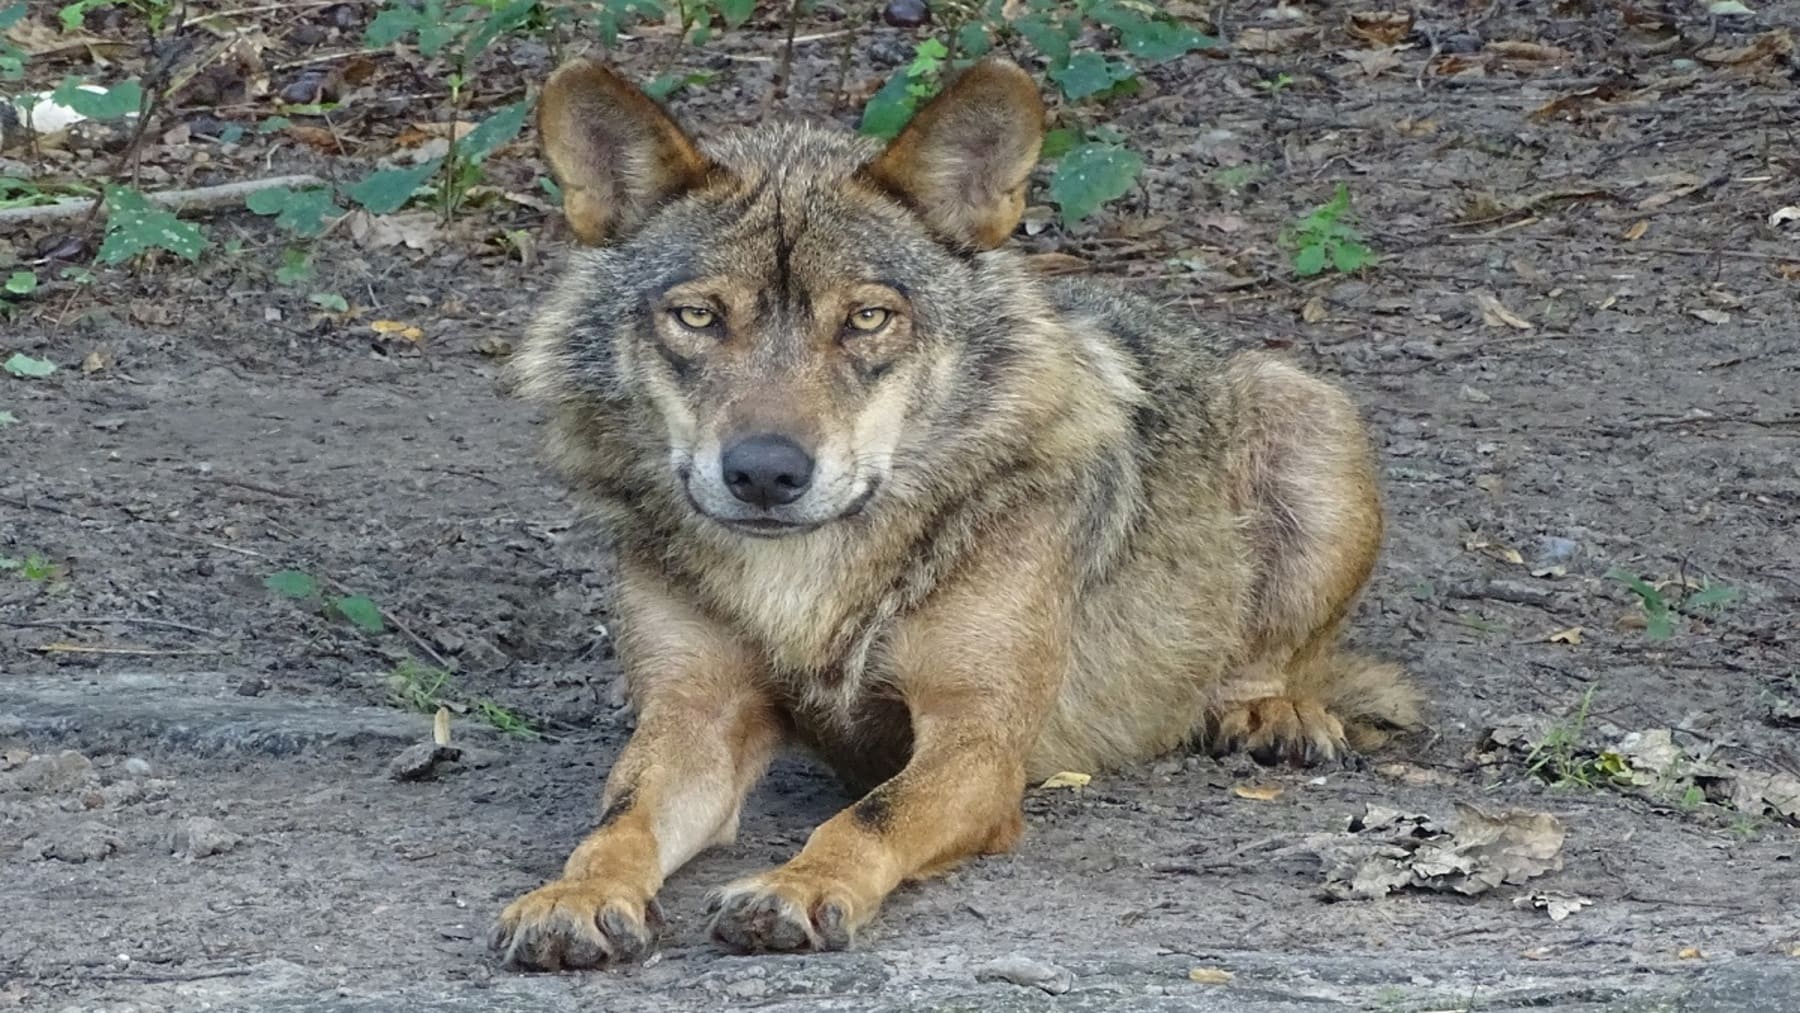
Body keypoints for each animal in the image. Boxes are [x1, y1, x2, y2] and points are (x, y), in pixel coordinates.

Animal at [491, 55, 1420, 969]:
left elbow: (872, 814)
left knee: (1270, 660)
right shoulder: (694, 717)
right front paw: (575, 894)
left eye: (868, 318)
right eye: (698, 315)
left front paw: (796, 886)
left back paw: (1270, 713)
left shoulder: (977, 737)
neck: (806, 581)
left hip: (1309, 415)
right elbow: (618, 820)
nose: (763, 472)